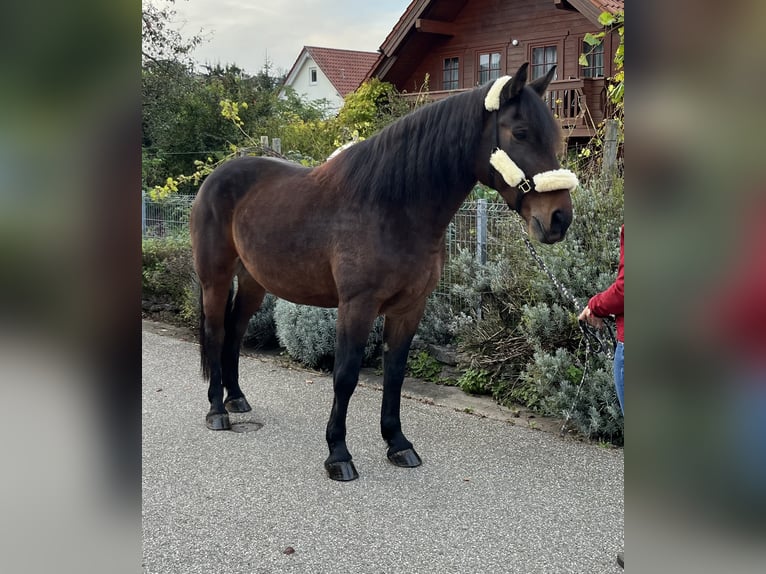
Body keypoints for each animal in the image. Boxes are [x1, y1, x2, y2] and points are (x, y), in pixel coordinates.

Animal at [190, 63, 576, 482]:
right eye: (520, 132)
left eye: (555, 136)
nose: (558, 219)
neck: (391, 207)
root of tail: (215, 177)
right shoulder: (356, 306)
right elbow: (345, 375)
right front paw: (338, 454)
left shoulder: (409, 307)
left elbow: (395, 374)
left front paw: (398, 443)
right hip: (215, 279)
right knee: (216, 333)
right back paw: (217, 411)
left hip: (253, 282)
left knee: (235, 332)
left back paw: (236, 398)